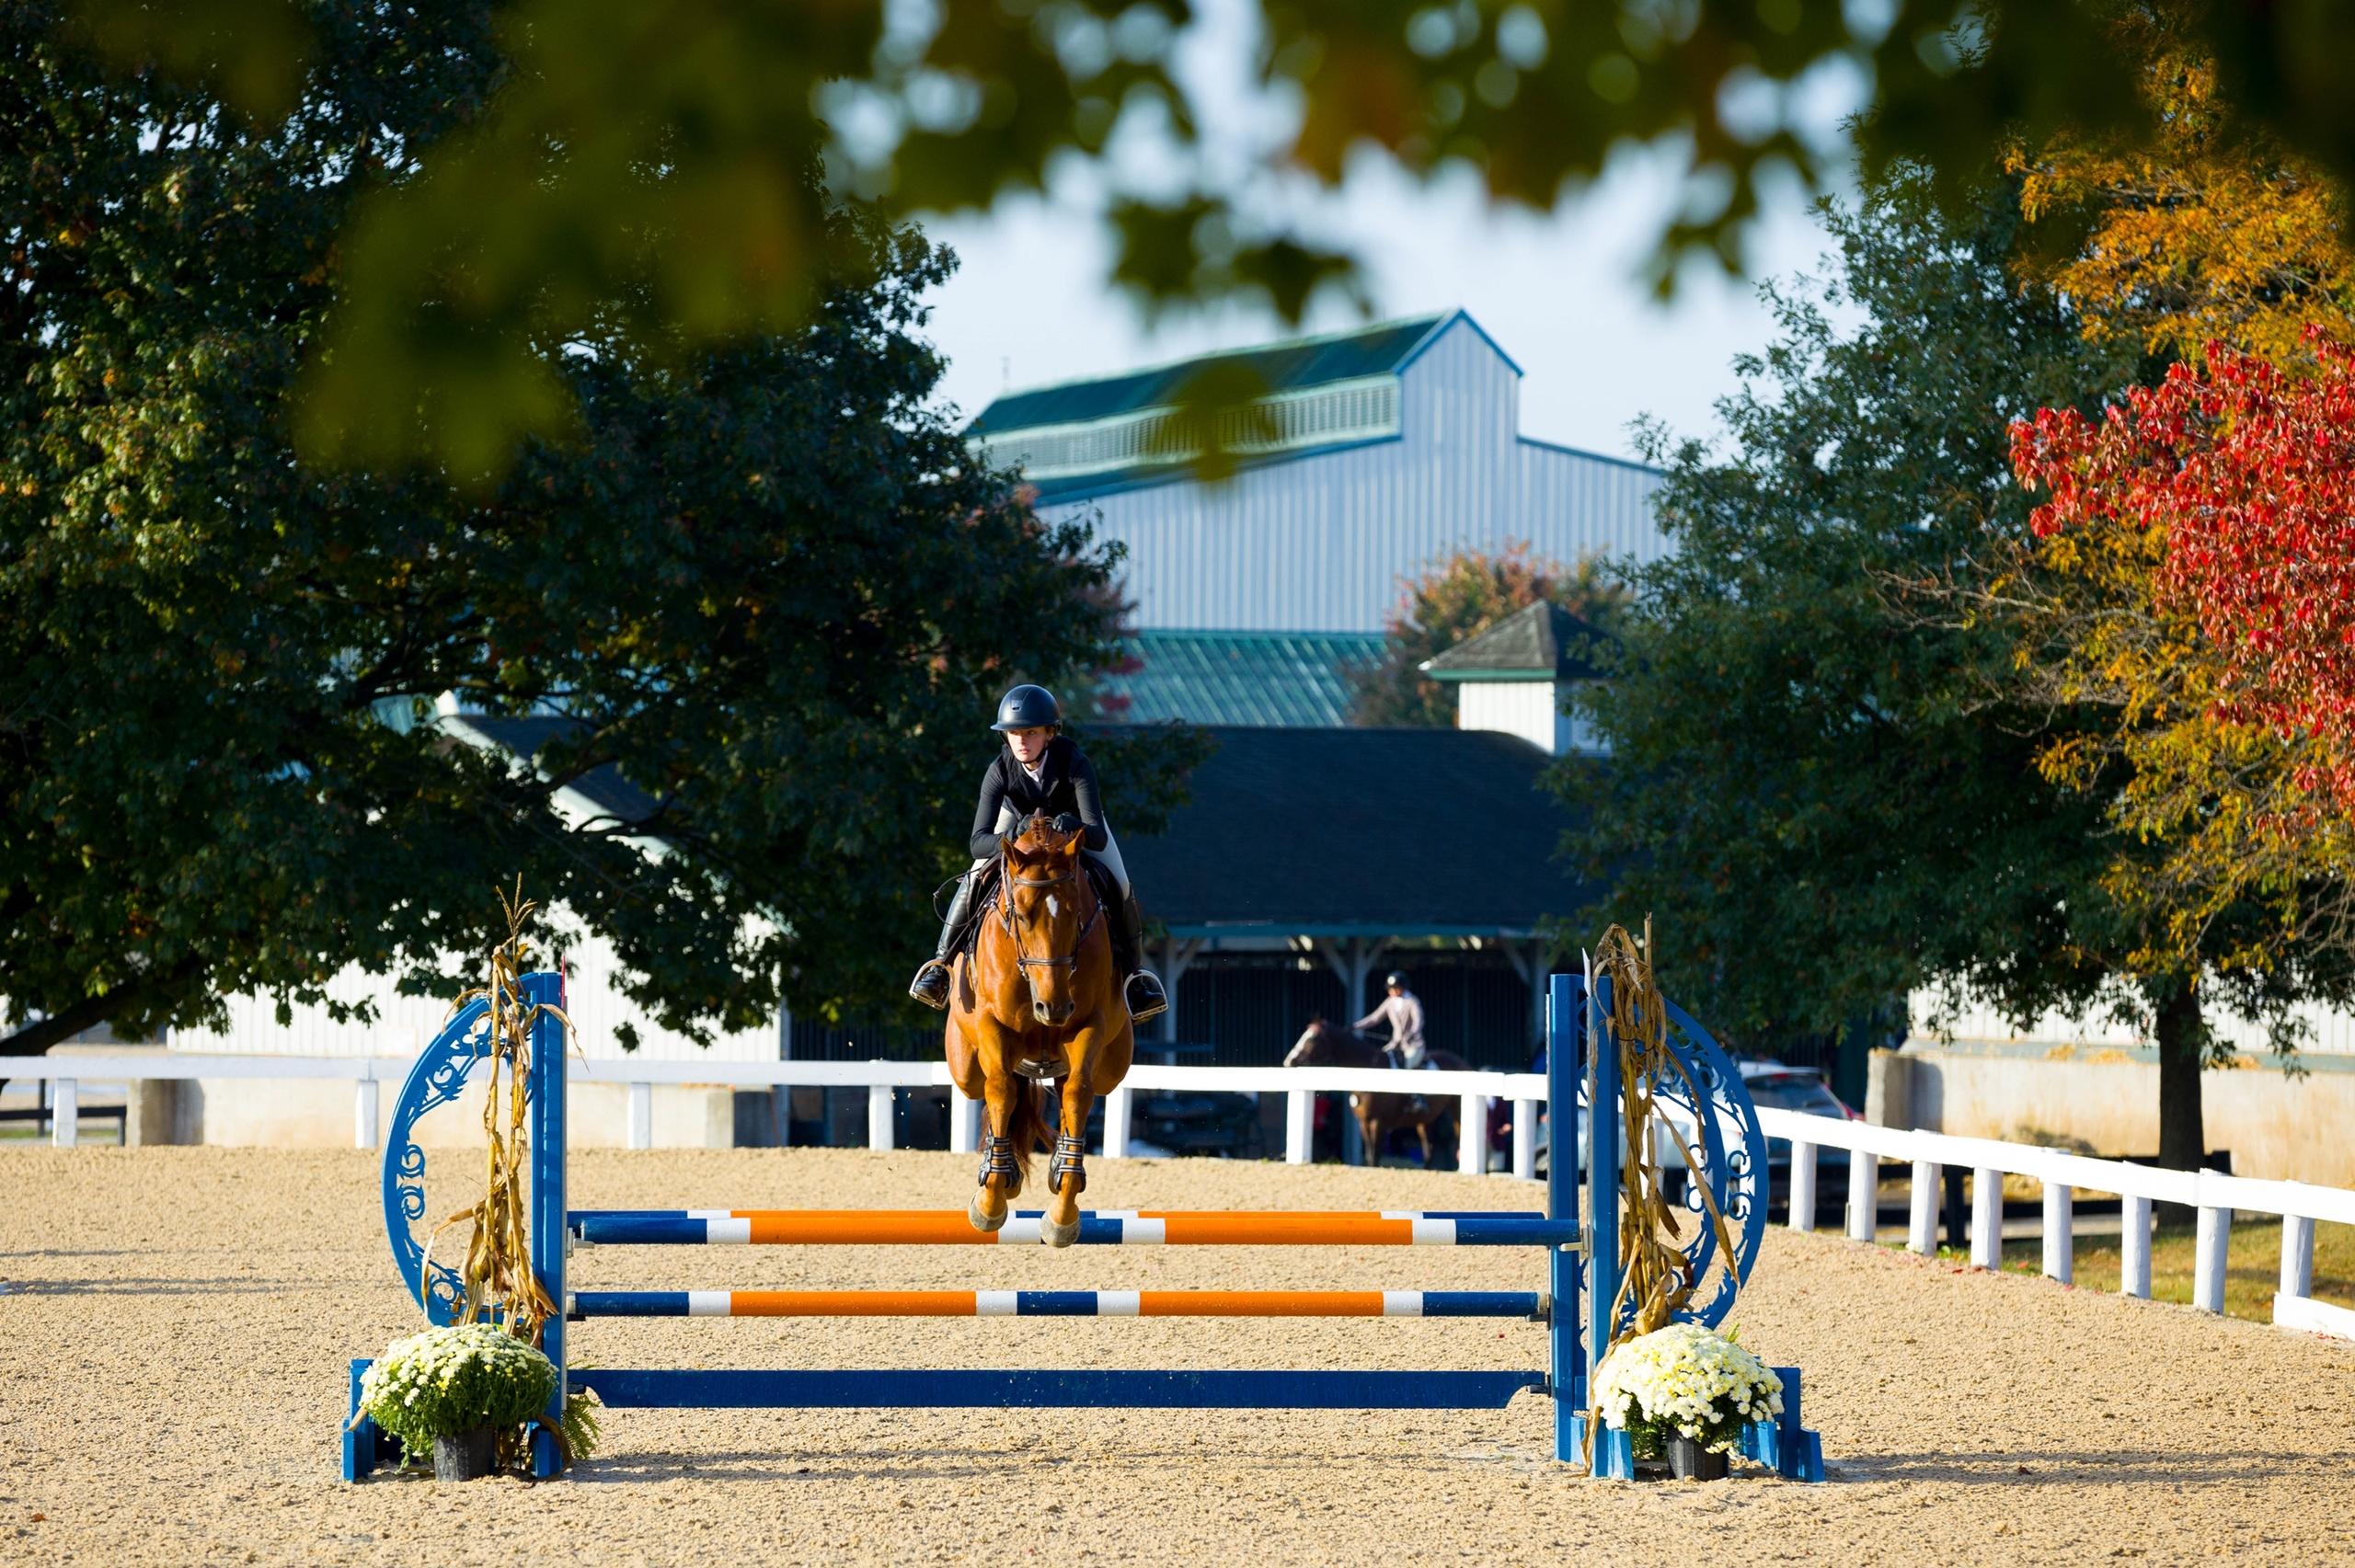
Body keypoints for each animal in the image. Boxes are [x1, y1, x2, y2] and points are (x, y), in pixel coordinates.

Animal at [945, 814, 1134, 1246]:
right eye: (1021, 916)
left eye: (1076, 913)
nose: (1054, 1008)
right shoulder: (991, 1024)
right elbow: (1000, 1090)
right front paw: (990, 1204)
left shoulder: (1087, 1026)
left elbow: (1078, 1094)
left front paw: (1062, 1214)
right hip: (965, 1066)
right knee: (993, 1087)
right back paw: (1002, 1172)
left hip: (1111, 1065)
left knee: (1071, 1090)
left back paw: (1059, 1164)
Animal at [1282, 1018, 1471, 1169]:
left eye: (1312, 1038)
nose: (1289, 1061)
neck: (1369, 1070)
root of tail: (1462, 1062)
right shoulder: (1363, 1122)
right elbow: (1369, 1154)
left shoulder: (1379, 1122)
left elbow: (1375, 1155)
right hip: (1425, 1119)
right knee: (1428, 1149)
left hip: (1457, 1110)